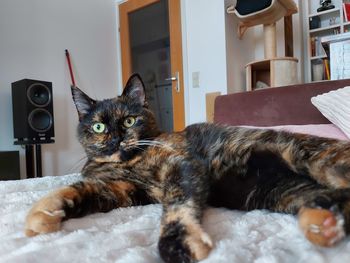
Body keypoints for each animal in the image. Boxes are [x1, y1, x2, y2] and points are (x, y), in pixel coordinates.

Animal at [26, 73, 350, 262]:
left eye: (129, 120)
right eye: (98, 126)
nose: (117, 138)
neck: (130, 163)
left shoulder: (179, 165)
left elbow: (178, 205)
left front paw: (178, 242)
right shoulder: (123, 191)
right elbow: (81, 189)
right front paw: (45, 212)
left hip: (312, 159)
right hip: (279, 191)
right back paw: (324, 223)